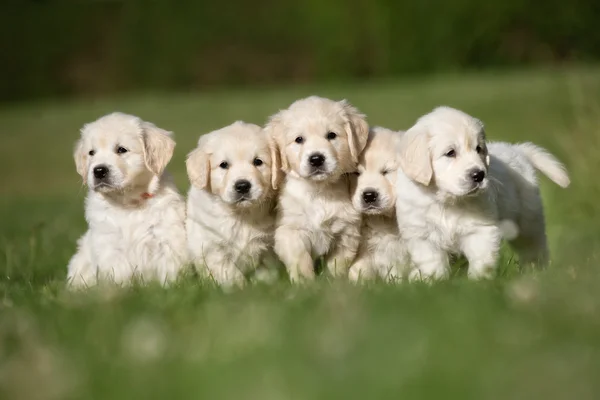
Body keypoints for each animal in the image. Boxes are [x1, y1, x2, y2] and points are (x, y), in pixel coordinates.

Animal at [65, 112, 188, 288]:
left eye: (121, 150)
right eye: (91, 153)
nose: (99, 170)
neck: (129, 203)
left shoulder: (166, 239)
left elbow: (169, 272)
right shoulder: (110, 245)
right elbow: (118, 276)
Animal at [185, 122, 282, 288]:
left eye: (258, 162)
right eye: (224, 165)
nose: (242, 186)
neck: (242, 214)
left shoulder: (268, 248)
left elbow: (267, 274)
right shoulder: (213, 247)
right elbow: (229, 273)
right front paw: (238, 288)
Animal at [268, 95, 370, 282]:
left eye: (331, 135)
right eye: (299, 139)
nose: (316, 159)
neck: (319, 191)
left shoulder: (346, 231)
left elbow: (338, 262)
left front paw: (334, 281)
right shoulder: (290, 229)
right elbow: (300, 258)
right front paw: (305, 283)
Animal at [396, 107, 568, 282]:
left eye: (478, 149)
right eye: (450, 153)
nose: (479, 175)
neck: (448, 201)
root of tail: (517, 150)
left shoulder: (480, 229)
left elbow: (481, 260)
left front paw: (478, 282)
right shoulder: (422, 235)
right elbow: (432, 264)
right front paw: (434, 282)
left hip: (527, 222)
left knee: (534, 247)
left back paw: (536, 272)